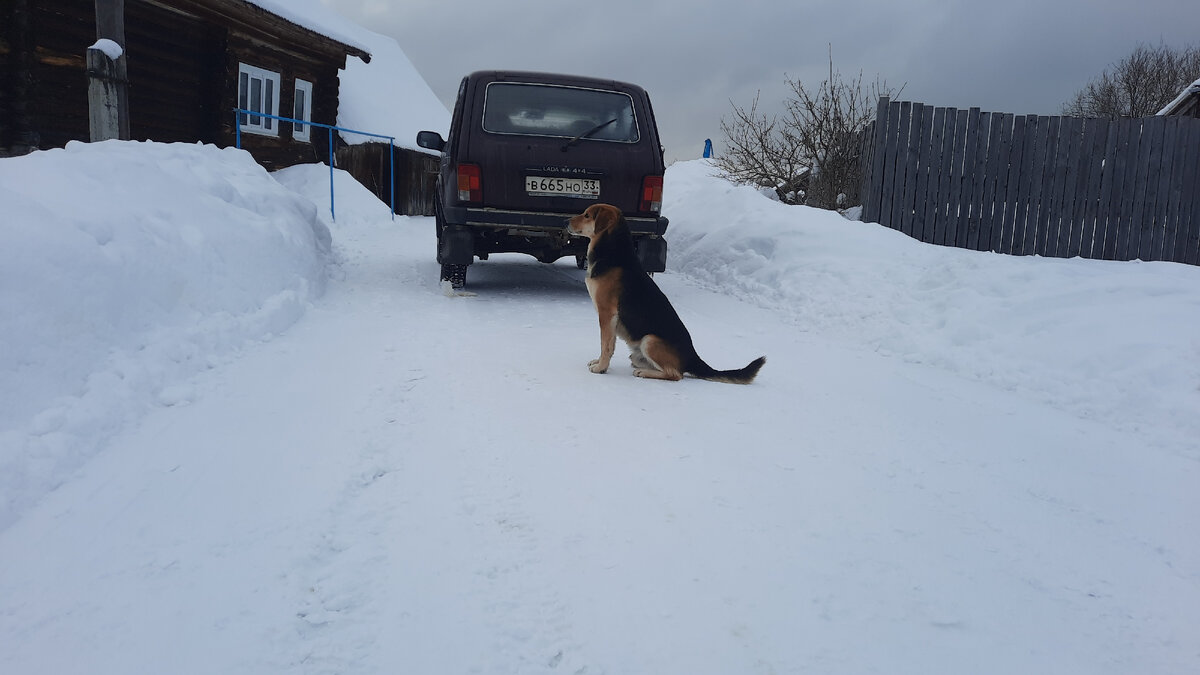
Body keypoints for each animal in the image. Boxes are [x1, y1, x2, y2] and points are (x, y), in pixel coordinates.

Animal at [564, 200, 768, 384]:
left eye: (587, 215)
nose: (565, 221)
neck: (613, 252)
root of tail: (693, 357)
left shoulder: (607, 313)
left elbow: (605, 345)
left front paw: (601, 367)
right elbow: (608, 344)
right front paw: (599, 362)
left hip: (650, 340)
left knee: (675, 374)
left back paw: (644, 373)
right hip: (639, 351)